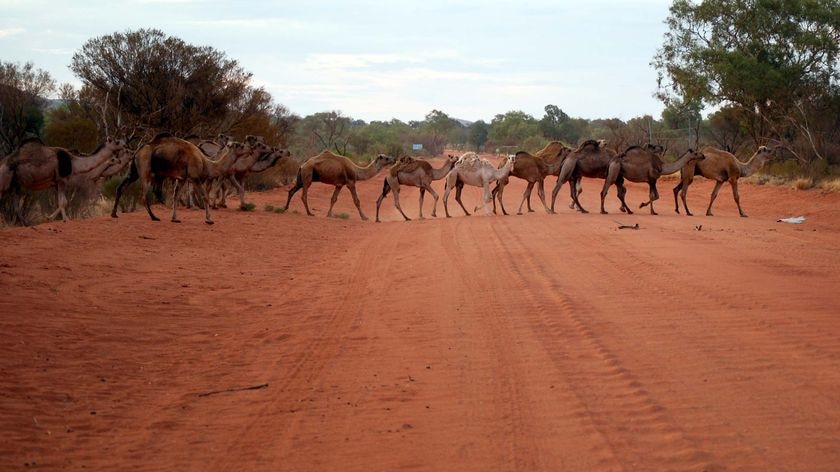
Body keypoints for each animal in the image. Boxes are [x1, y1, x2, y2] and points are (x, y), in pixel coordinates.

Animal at [110, 131, 249, 223]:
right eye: (239, 145)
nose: (249, 148)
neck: (206, 162)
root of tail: (138, 151)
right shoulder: (194, 177)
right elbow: (204, 196)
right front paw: (209, 219)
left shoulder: (182, 179)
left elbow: (175, 197)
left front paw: (175, 218)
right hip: (146, 171)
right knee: (144, 195)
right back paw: (154, 217)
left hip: (133, 171)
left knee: (120, 187)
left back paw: (114, 214)